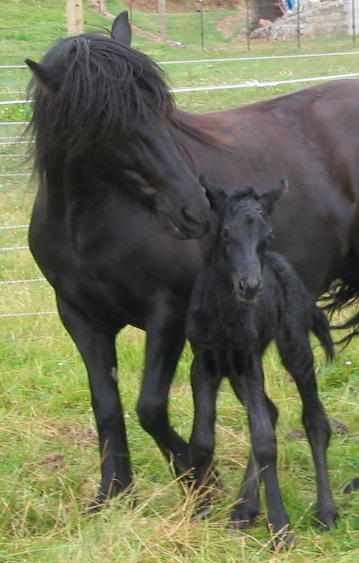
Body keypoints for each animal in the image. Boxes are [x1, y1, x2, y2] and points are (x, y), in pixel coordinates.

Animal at [187, 180, 338, 548]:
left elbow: (265, 441)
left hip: (293, 345)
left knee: (315, 420)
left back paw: (325, 510)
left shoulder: (249, 359)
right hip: (235, 372)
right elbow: (202, 439)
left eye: (268, 235)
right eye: (225, 233)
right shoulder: (205, 363)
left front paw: (281, 525)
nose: (251, 286)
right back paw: (243, 509)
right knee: (270, 410)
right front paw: (200, 511)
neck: (223, 315)